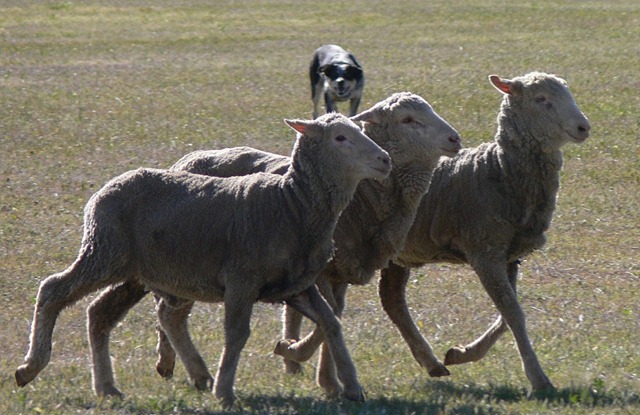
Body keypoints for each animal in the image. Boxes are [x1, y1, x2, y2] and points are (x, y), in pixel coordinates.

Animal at [14, 113, 392, 408]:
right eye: (340, 138)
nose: (385, 160)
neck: (291, 203)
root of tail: (105, 189)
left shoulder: (296, 284)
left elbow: (331, 323)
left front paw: (352, 387)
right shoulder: (242, 279)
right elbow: (236, 333)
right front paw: (225, 392)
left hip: (135, 270)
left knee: (100, 314)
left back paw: (108, 387)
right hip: (104, 251)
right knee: (53, 290)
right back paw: (30, 368)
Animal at [147, 92, 462, 397]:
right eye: (407, 119)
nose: (455, 139)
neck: (365, 199)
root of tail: (187, 157)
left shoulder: (339, 270)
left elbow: (333, 315)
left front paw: (320, 373)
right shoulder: (321, 272)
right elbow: (329, 314)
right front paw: (301, 357)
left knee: (170, 313)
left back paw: (175, 365)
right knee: (170, 315)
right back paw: (190, 370)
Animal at [375, 72, 591, 396]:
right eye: (541, 99)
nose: (583, 127)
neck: (497, 170)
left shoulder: (510, 255)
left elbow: (507, 313)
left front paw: (462, 353)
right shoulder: (484, 251)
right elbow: (512, 312)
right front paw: (539, 379)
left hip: (397, 253)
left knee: (391, 299)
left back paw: (432, 363)